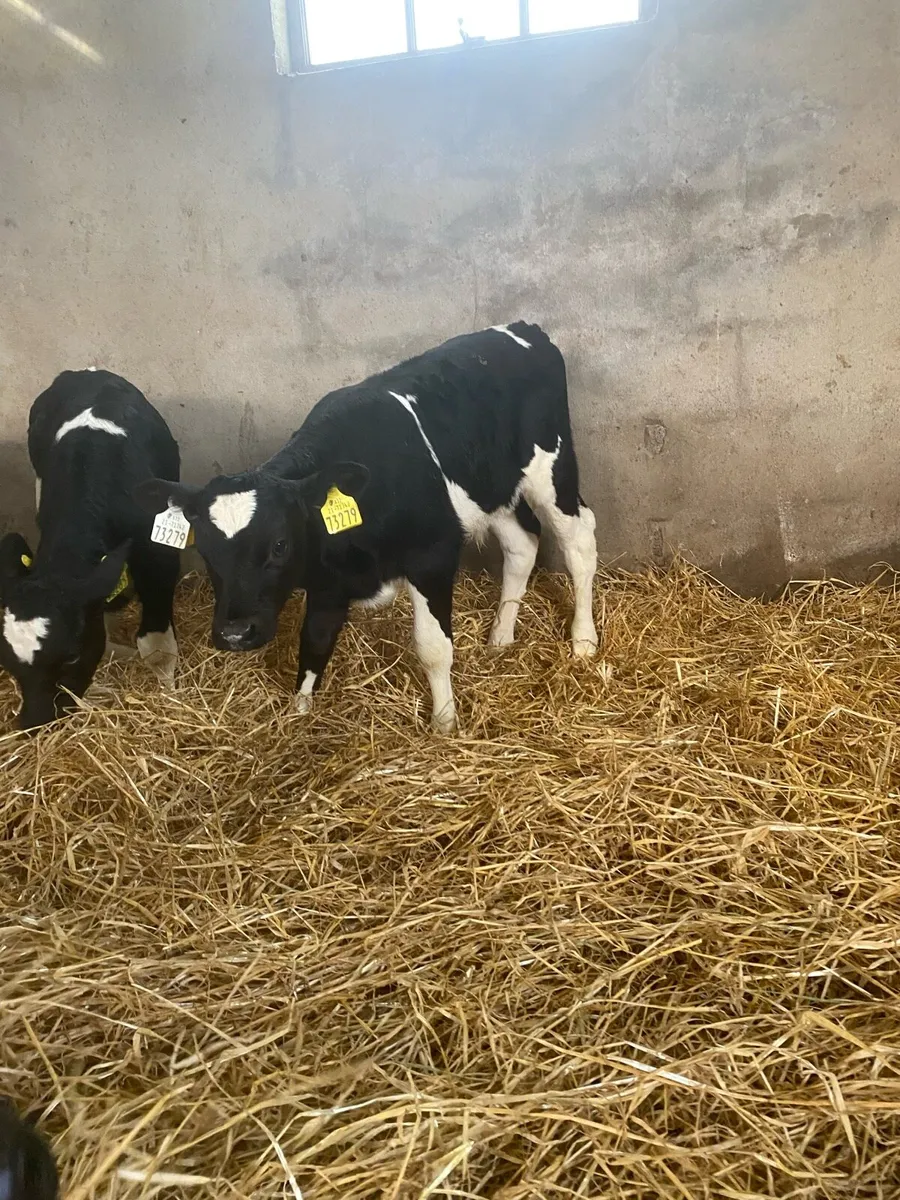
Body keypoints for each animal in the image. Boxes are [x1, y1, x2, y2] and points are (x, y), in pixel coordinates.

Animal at [0, 369, 181, 731]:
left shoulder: (160, 555)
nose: (35, 722)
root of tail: (85, 373)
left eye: (71, 655)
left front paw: (168, 696)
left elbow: (156, 647)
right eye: (8, 664)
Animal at [135, 323, 598, 734]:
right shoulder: (327, 579)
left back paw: (583, 641)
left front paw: (444, 723)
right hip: (495, 488)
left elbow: (433, 648)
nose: (233, 634)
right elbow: (314, 640)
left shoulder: (432, 555)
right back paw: (500, 637)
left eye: (280, 545)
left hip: (552, 471)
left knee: (579, 542)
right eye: (205, 550)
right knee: (522, 544)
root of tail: (524, 329)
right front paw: (298, 714)